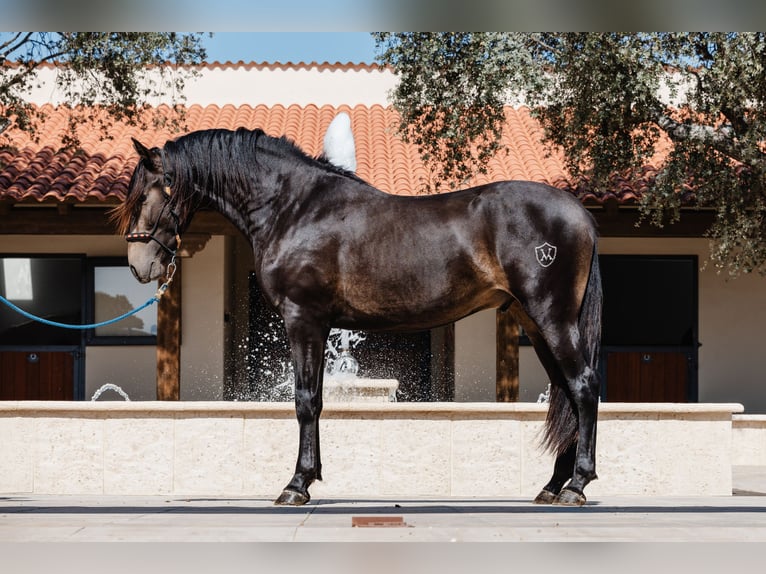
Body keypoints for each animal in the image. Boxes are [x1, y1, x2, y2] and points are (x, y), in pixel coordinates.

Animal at [115, 129, 608, 508]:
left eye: (148, 194)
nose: (139, 266)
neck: (293, 208)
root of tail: (579, 213)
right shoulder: (314, 325)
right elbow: (314, 400)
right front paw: (308, 478)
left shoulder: (304, 320)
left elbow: (306, 401)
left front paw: (297, 485)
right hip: (534, 324)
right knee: (565, 393)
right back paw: (552, 486)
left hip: (552, 318)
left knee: (583, 387)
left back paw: (577, 486)